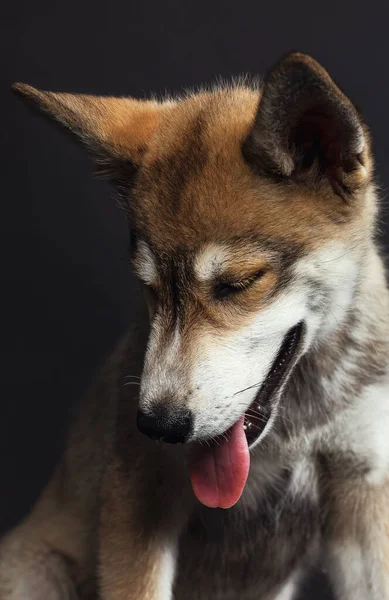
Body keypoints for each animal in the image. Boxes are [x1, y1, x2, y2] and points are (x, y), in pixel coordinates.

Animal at [0, 52, 388, 600]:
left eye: (239, 282)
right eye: (149, 286)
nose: (158, 426)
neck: (291, 431)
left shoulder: (361, 486)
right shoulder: (141, 492)